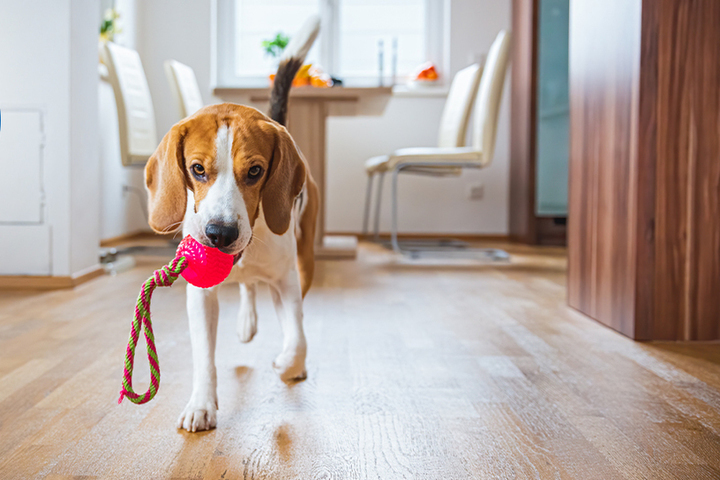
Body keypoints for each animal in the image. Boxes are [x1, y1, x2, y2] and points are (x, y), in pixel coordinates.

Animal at [143, 53, 318, 432]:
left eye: (255, 172)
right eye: (197, 169)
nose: (219, 233)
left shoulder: (287, 282)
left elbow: (298, 337)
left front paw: (288, 364)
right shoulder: (200, 296)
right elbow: (204, 356)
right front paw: (201, 404)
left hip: (305, 261)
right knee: (247, 287)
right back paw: (246, 322)